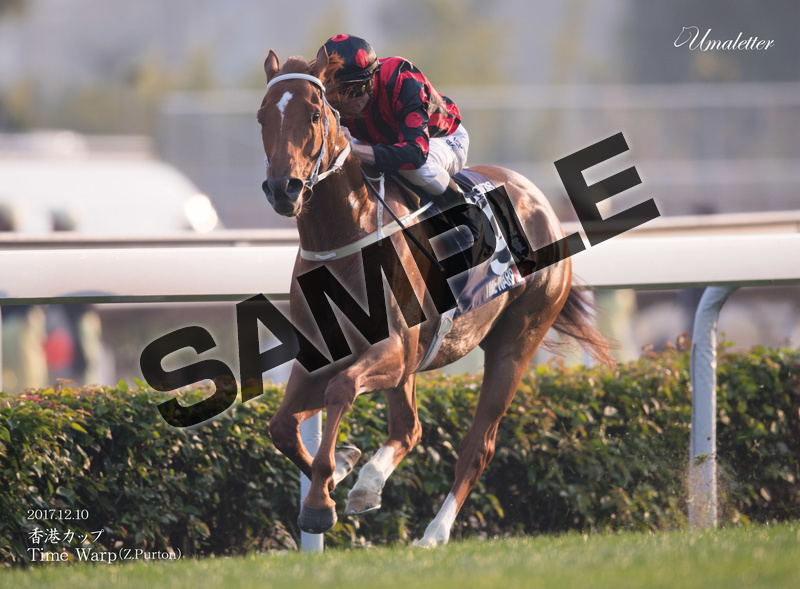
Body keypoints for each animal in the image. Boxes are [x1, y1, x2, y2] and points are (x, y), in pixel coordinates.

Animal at [257, 46, 614, 547]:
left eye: (312, 114)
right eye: (262, 117)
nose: (282, 189)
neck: (346, 235)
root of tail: (541, 202)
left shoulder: (393, 349)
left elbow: (341, 388)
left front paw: (322, 497)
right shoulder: (322, 355)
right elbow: (282, 427)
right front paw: (337, 475)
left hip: (516, 342)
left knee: (477, 445)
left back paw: (433, 532)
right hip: (419, 361)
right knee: (409, 429)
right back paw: (369, 484)